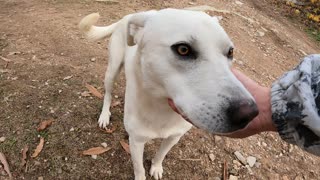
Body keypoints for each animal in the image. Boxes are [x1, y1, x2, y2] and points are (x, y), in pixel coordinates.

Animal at [79, 8, 258, 180]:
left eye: (230, 52)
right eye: (183, 49)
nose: (249, 114)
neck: (162, 108)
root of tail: (130, 16)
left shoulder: (174, 137)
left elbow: (161, 155)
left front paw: (156, 167)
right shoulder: (136, 141)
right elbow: (139, 169)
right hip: (112, 70)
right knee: (108, 94)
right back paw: (104, 115)